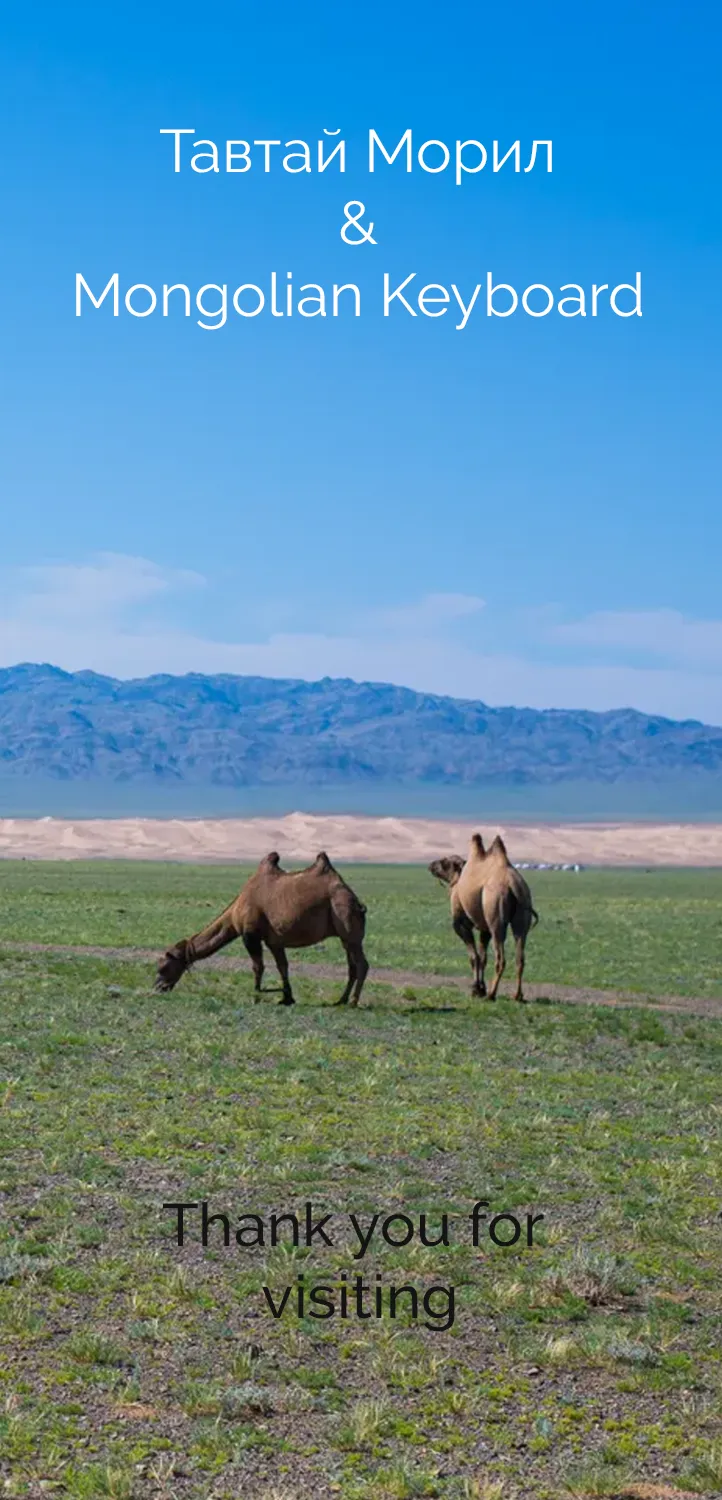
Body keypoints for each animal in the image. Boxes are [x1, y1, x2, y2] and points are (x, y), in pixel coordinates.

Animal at [154, 858, 369, 1008]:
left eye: (163, 967)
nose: (157, 987)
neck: (234, 912)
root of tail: (357, 902)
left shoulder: (250, 934)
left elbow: (258, 967)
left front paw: (257, 995)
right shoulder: (274, 941)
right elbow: (282, 966)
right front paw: (287, 997)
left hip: (346, 919)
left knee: (362, 964)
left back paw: (353, 1001)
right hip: (344, 935)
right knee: (352, 965)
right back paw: (341, 1000)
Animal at [426, 840, 534, 1002]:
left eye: (445, 861)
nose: (431, 865)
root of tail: (513, 886)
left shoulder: (461, 924)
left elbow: (474, 956)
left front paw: (476, 989)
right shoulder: (485, 929)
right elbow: (483, 957)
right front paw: (481, 988)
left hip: (496, 914)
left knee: (500, 958)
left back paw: (492, 994)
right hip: (522, 913)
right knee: (520, 956)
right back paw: (517, 995)